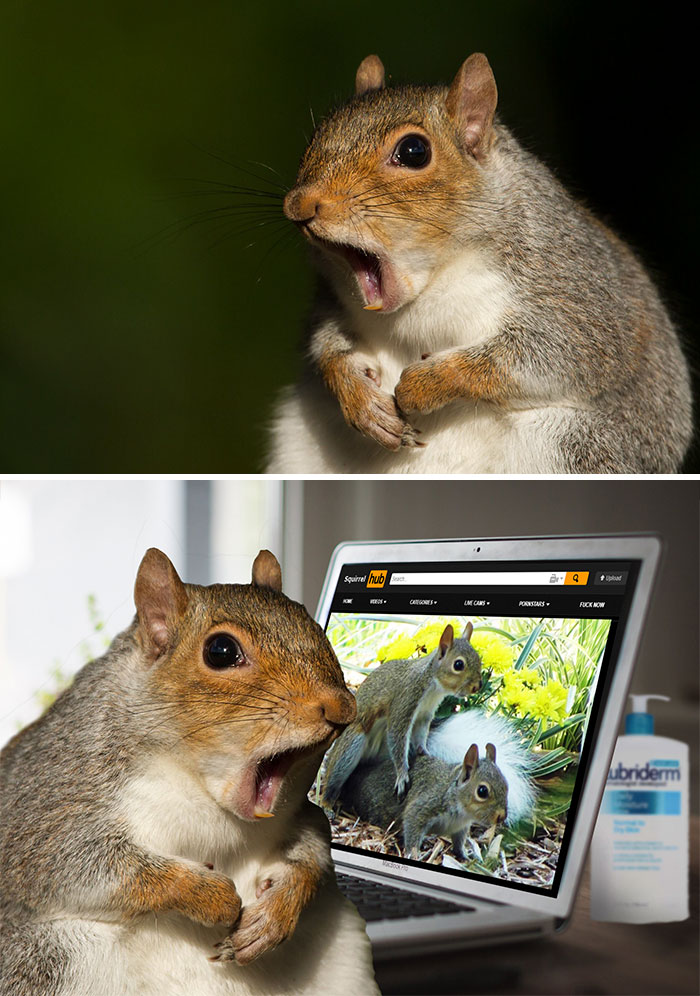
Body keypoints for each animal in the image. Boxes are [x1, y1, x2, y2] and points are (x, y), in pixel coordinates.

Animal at [0, 549, 379, 996]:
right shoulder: (49, 800)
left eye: (314, 624)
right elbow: (75, 866)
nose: (343, 707)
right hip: (45, 960)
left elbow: (313, 852)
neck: (203, 791)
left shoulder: (299, 813)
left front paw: (274, 914)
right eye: (220, 651)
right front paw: (213, 896)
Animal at [266, 52, 692, 474]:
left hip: (574, 448)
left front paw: (425, 384)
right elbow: (326, 344)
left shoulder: (576, 294)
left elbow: (550, 355)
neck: (432, 282)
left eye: (413, 151)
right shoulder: (333, 300)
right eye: (317, 134)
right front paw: (360, 399)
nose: (298, 205)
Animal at [323, 622, 482, 803]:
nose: (478, 686)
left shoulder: (425, 715)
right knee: (334, 779)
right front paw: (402, 775)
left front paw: (424, 751)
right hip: (350, 745)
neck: (433, 687)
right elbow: (397, 736)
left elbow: (421, 735)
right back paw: (328, 801)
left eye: (479, 658)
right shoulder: (404, 701)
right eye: (458, 665)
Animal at [338, 744, 508, 860]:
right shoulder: (425, 805)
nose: (502, 817)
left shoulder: (460, 828)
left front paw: (464, 855)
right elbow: (412, 823)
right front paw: (414, 854)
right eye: (482, 791)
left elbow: (459, 843)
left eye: (507, 785)